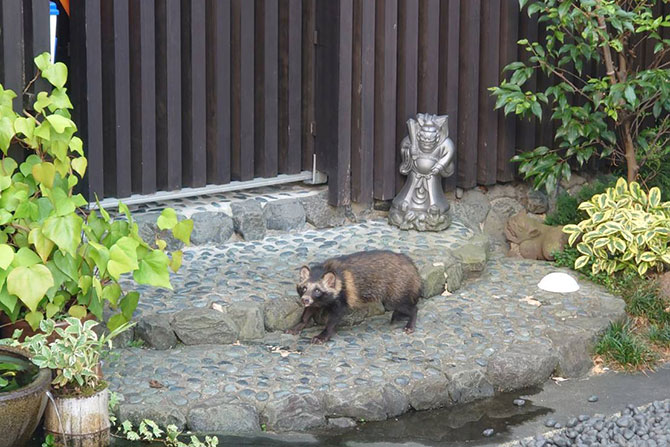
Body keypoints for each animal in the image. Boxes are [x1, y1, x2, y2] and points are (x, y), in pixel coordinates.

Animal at [286, 250, 422, 344]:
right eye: (304, 288)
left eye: (317, 290)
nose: (304, 299)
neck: (325, 270)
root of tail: (410, 263)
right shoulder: (316, 301)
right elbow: (308, 312)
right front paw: (299, 325)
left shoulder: (342, 298)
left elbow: (333, 320)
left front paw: (323, 335)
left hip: (394, 292)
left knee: (410, 306)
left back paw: (410, 321)